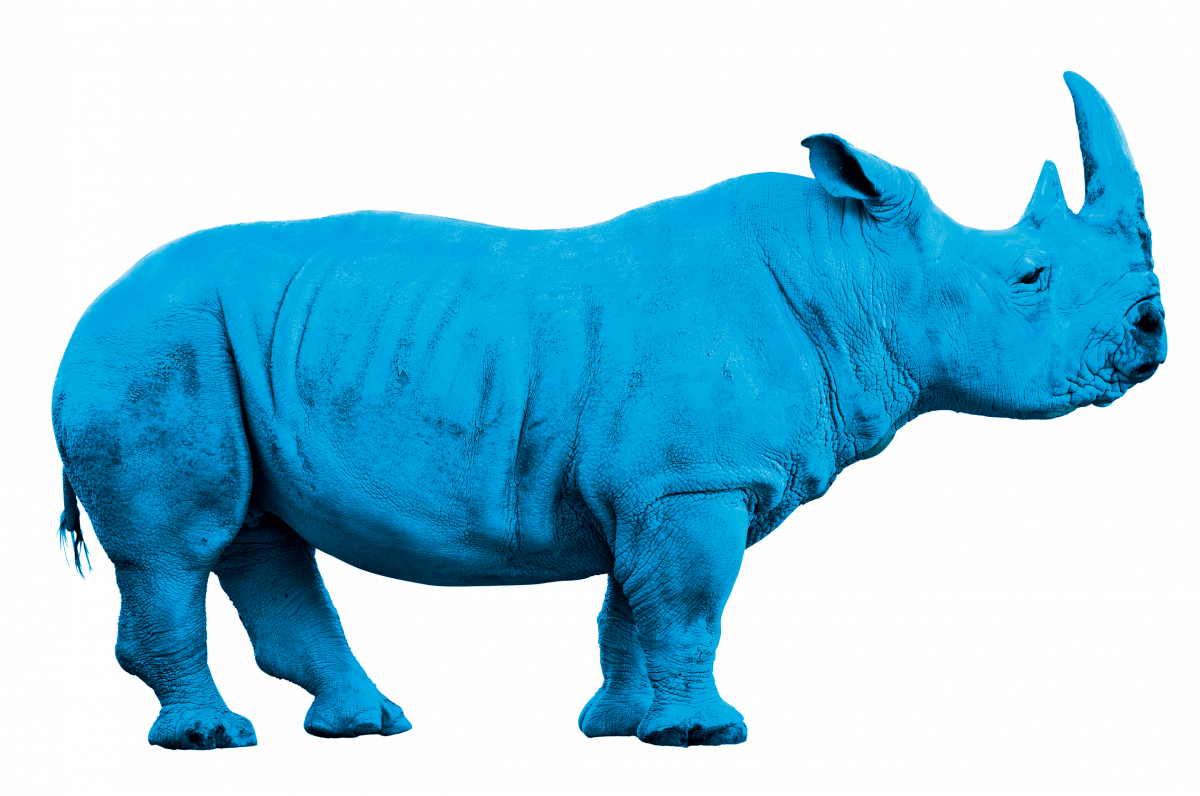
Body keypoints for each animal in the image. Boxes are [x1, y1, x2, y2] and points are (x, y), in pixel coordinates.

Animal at [51, 70, 1164, 750]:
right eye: (1030, 276)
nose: (1152, 331)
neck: (860, 273)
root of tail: (89, 308)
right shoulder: (693, 482)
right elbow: (690, 607)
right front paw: (704, 734)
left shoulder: (655, 485)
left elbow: (632, 608)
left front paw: (620, 727)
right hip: (150, 346)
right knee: (179, 543)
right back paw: (211, 737)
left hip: (206, 349)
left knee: (255, 532)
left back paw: (364, 724)